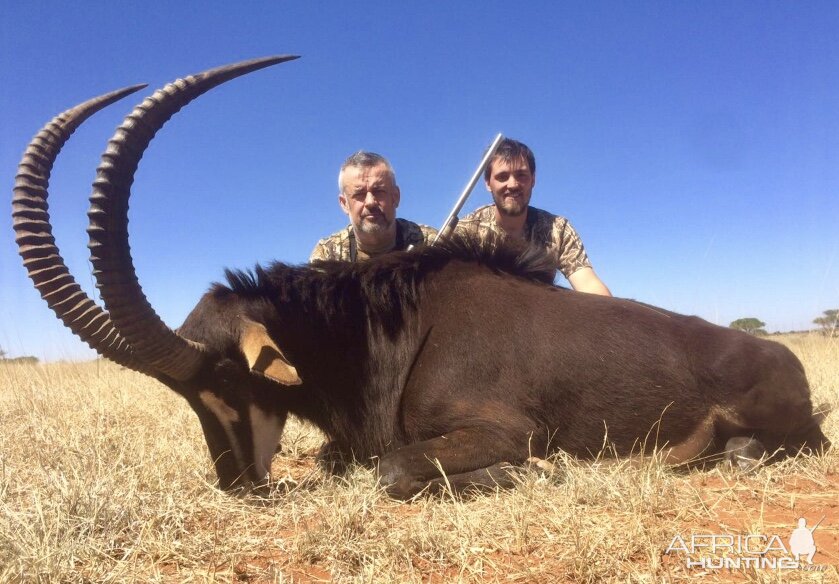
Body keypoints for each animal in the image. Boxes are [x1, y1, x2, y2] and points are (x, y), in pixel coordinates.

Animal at [11, 57, 828, 500]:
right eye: (186, 392)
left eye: (227, 376)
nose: (237, 484)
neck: (382, 329)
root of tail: (780, 354)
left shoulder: (496, 430)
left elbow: (393, 469)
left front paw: (532, 473)